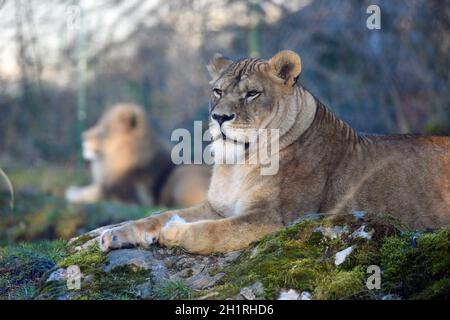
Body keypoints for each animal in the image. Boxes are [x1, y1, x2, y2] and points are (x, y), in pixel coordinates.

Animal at [65, 103, 211, 208]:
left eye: (105, 130)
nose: (83, 136)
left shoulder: (128, 193)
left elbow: (95, 192)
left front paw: (72, 193)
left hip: (183, 171)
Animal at [84, 50, 450, 255]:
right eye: (217, 91)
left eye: (252, 94)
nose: (219, 117)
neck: (237, 162)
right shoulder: (216, 206)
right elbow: (155, 215)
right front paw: (111, 233)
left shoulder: (275, 220)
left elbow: (208, 231)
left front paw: (172, 232)